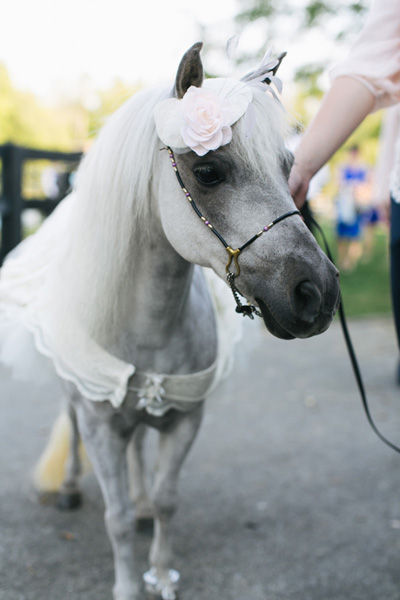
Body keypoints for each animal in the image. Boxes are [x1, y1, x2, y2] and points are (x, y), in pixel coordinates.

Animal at [0, 43, 340, 600]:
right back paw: (69, 487)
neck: (150, 324)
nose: (318, 293)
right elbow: (114, 519)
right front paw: (128, 585)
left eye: (288, 166)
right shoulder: (100, 426)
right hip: (78, 397)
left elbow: (165, 501)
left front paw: (160, 574)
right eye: (208, 172)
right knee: (71, 425)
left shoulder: (184, 419)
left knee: (139, 449)